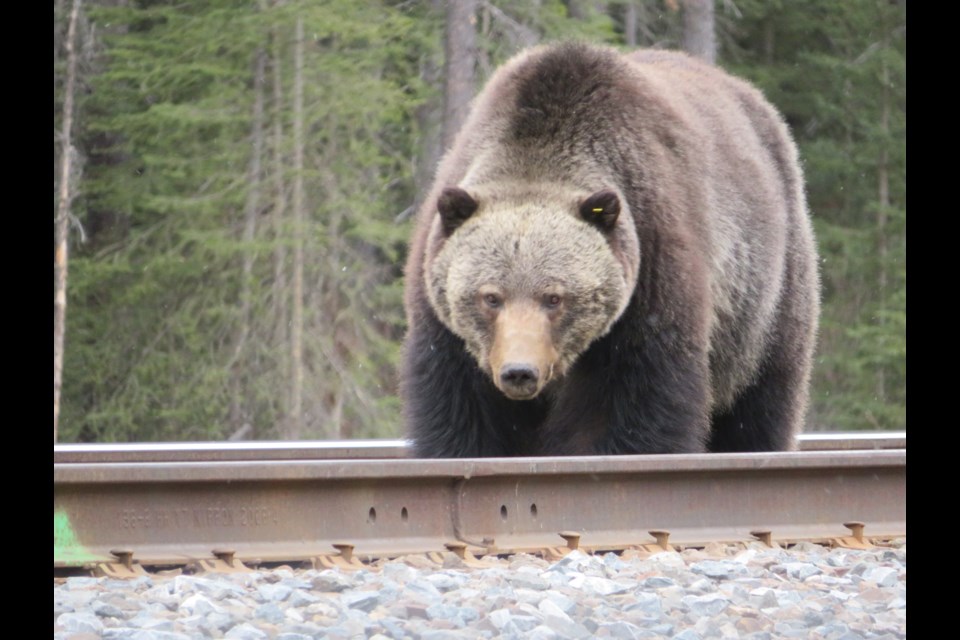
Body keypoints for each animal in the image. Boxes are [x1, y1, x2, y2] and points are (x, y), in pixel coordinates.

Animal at [398, 42, 816, 458]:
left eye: (554, 297)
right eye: (490, 297)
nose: (519, 371)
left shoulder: (650, 270)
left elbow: (631, 401)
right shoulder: (444, 314)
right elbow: (460, 408)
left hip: (764, 295)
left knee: (759, 399)